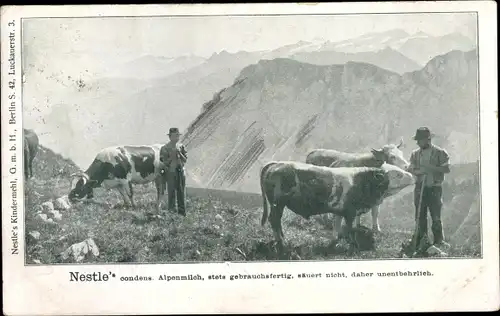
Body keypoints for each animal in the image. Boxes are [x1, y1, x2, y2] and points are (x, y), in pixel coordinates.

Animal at [258, 160, 414, 252]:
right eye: (397, 174)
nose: (412, 176)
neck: (361, 181)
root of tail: (278, 163)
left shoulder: (339, 211)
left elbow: (337, 227)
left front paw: (335, 243)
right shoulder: (350, 212)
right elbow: (350, 229)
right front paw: (353, 245)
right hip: (278, 204)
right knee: (274, 220)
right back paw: (282, 242)